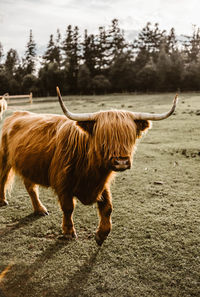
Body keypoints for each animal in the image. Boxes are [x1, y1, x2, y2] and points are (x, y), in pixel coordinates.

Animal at [0, 88, 178, 245]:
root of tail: (16, 115)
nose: (121, 162)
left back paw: (40, 209)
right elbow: (68, 208)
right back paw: (3, 201)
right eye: (103, 137)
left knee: (31, 187)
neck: (90, 169)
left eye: (130, 136)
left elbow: (107, 208)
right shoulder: (63, 183)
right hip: (4, 159)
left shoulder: (101, 185)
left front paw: (101, 235)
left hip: (29, 165)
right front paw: (69, 231)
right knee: (3, 179)